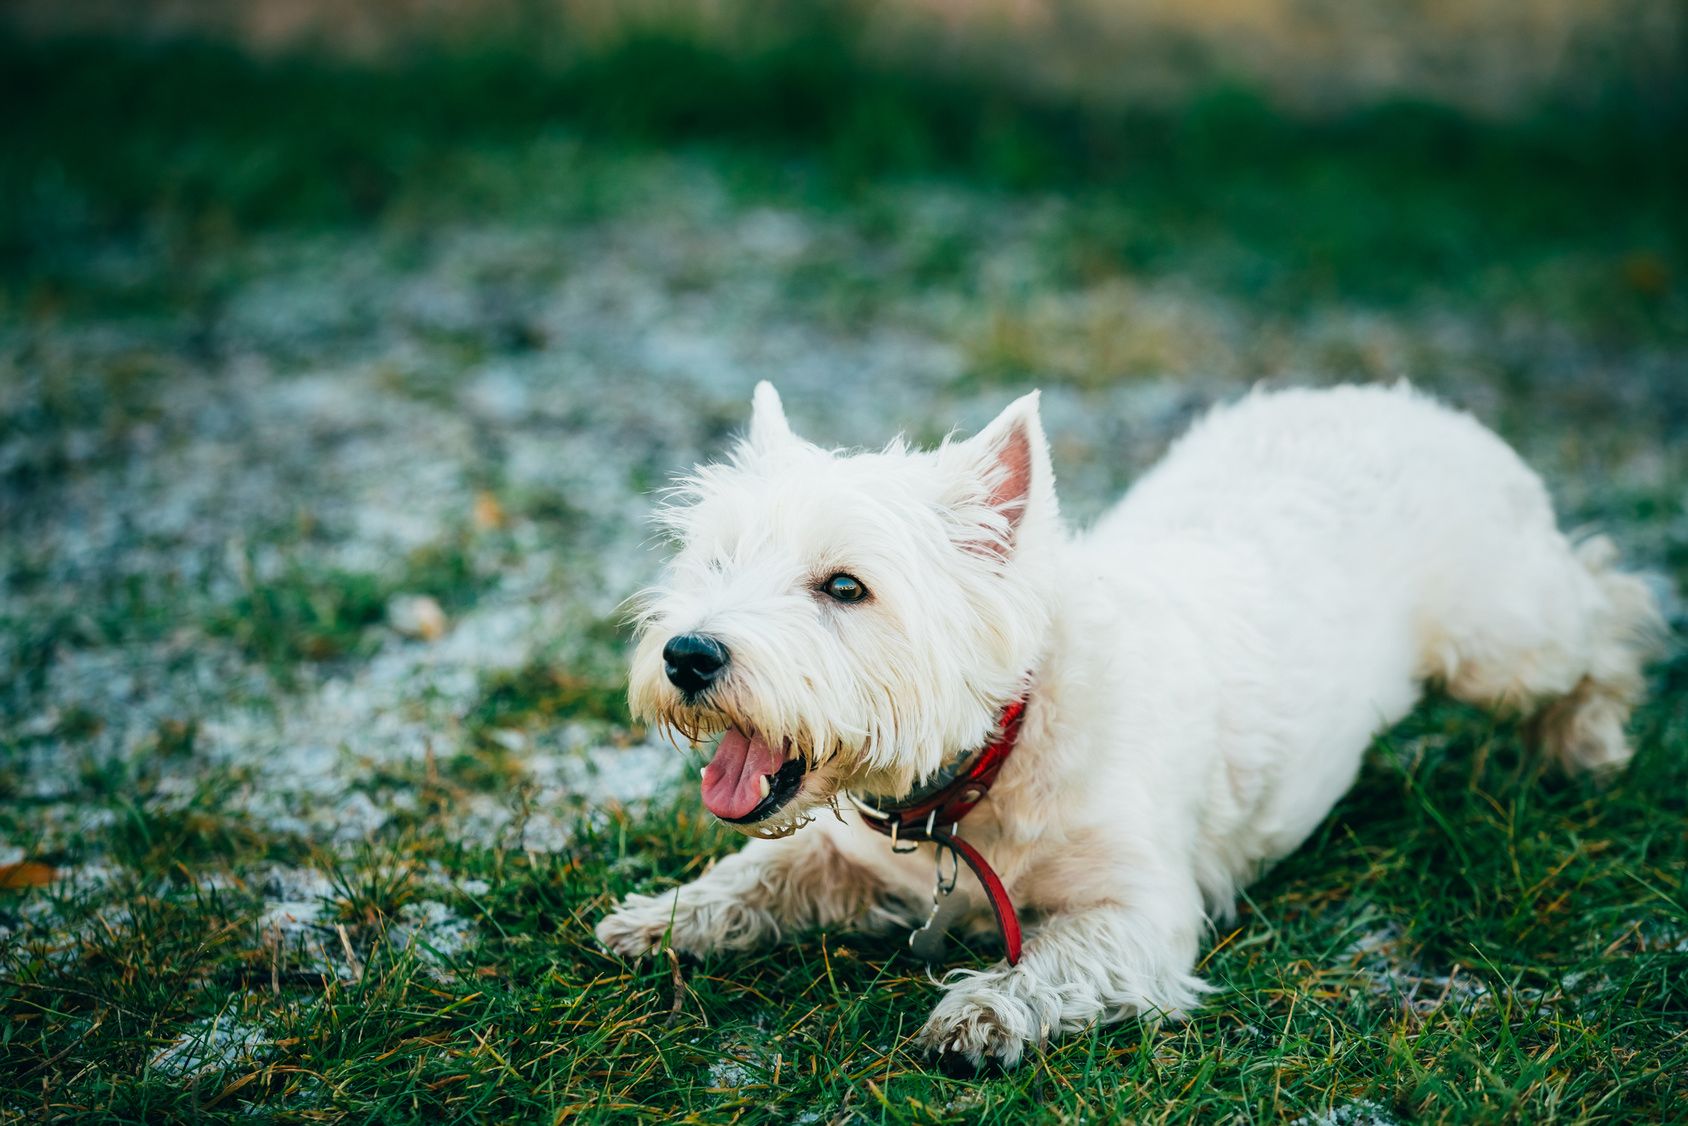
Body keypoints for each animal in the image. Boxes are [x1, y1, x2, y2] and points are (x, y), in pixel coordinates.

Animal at [594, 383, 1660, 1073]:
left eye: (845, 587)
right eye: (718, 562)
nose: (687, 655)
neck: (997, 753)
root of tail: (1421, 404)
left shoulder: (1144, 911)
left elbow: (1054, 959)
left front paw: (982, 1012)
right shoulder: (856, 856)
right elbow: (764, 868)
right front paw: (662, 917)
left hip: (1504, 639)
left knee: (1605, 599)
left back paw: (1588, 744)